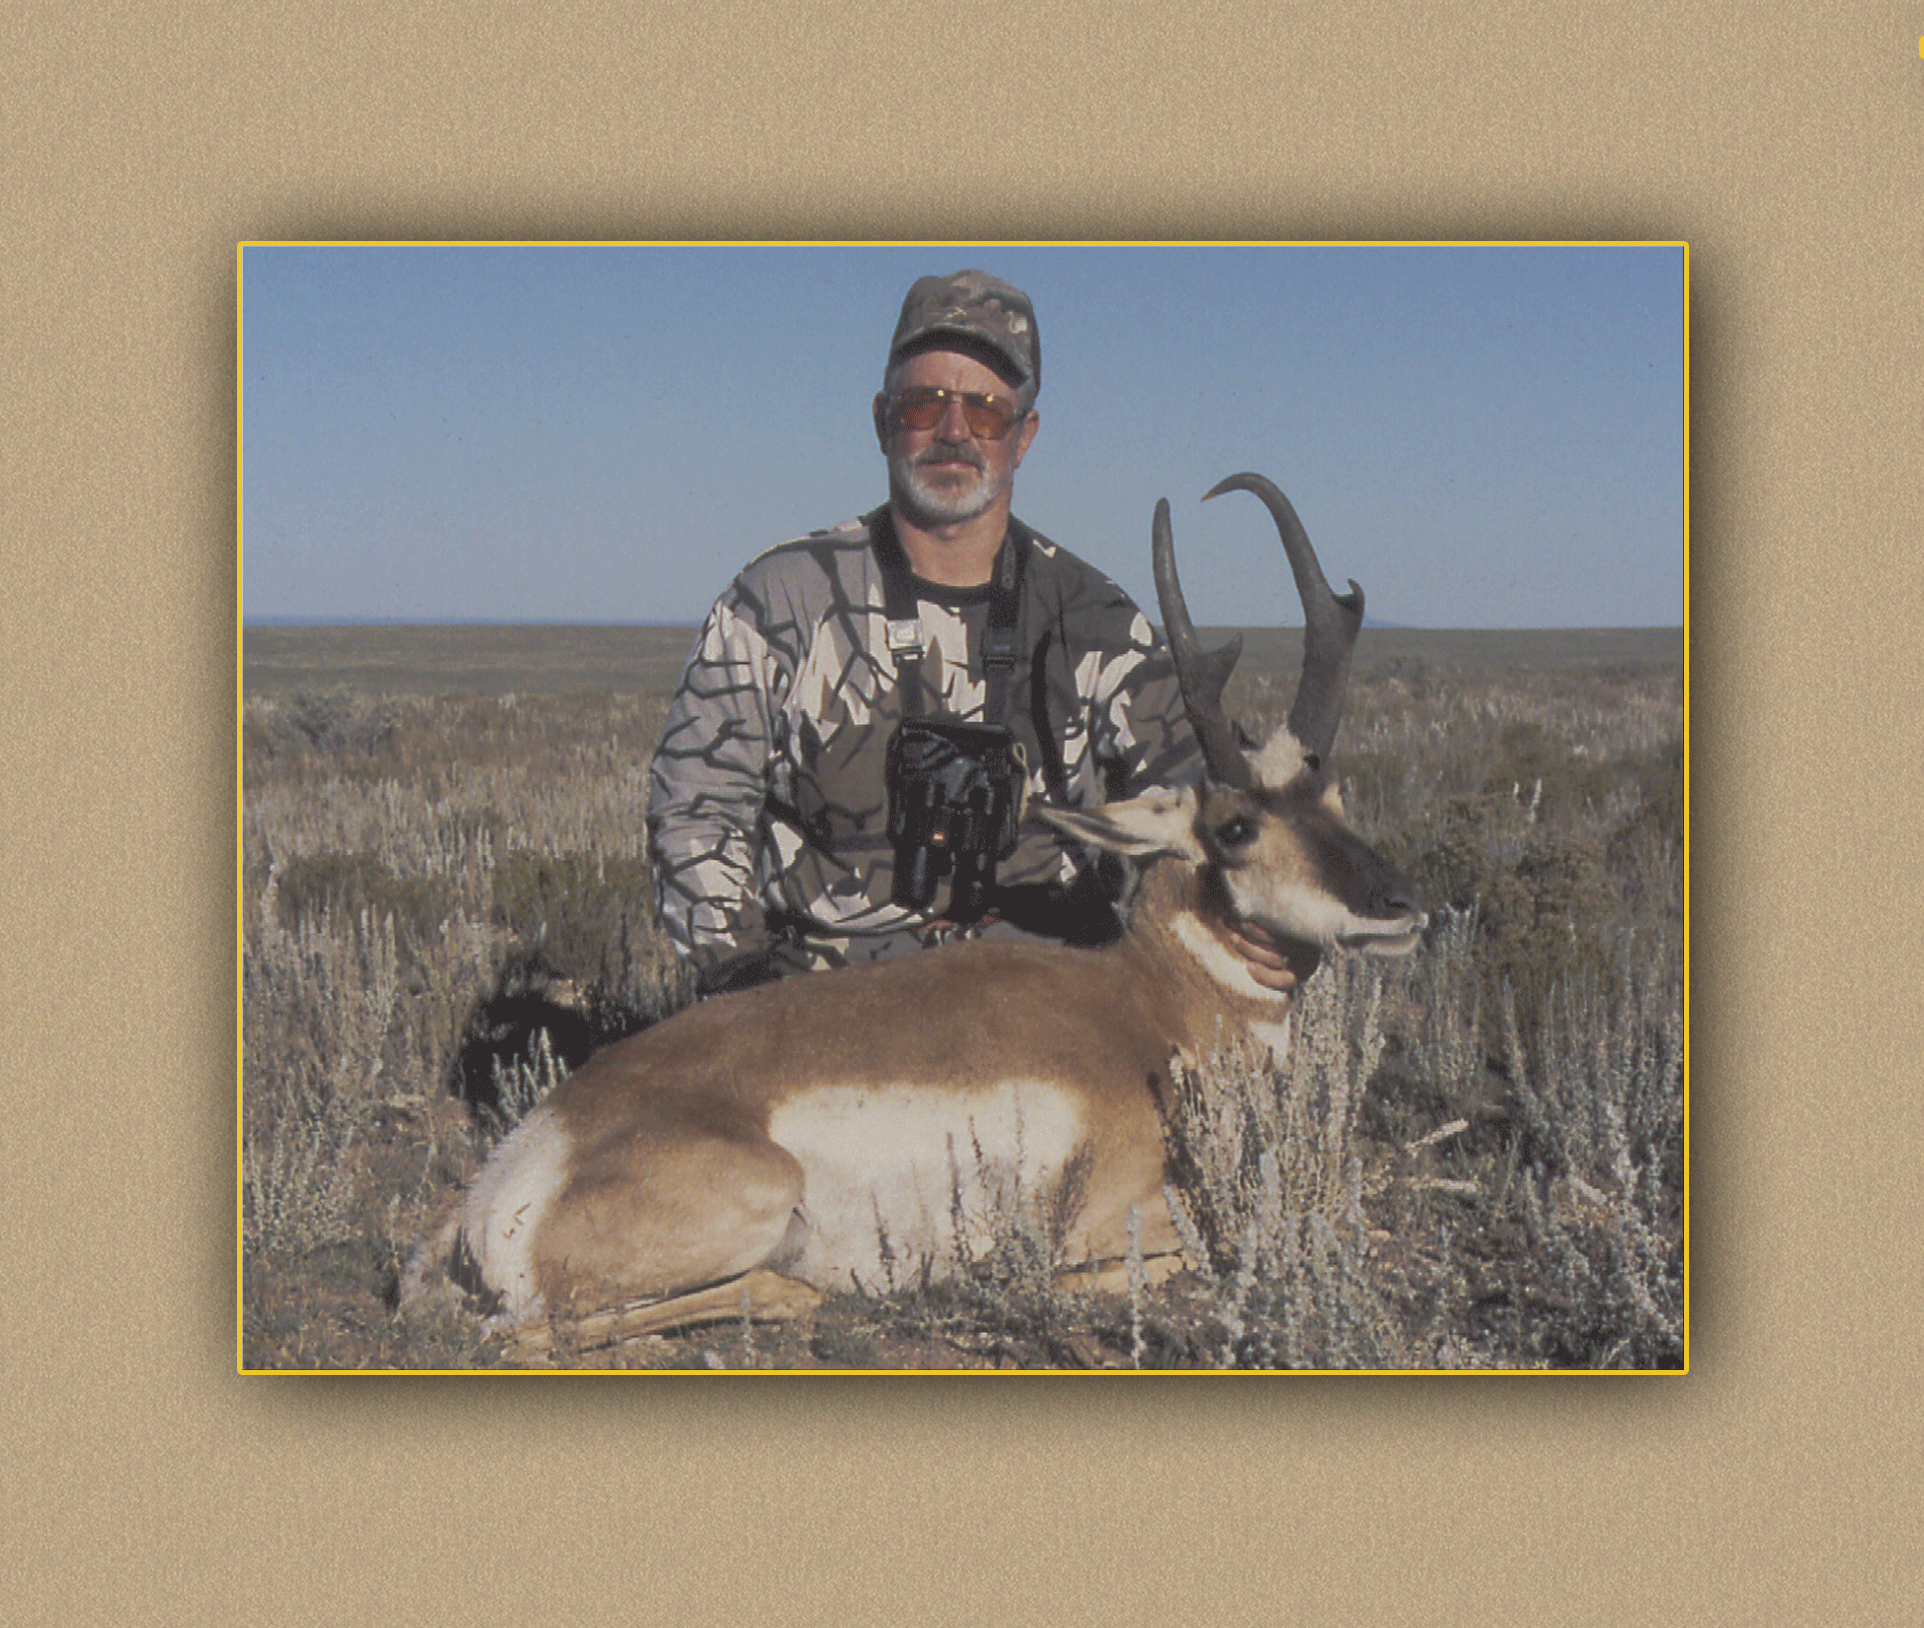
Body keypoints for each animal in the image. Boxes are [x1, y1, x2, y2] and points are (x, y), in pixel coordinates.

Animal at [402, 473, 1426, 1353]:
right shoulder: (1119, 1224)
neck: (1150, 1004)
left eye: (1336, 800)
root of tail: (512, 1176)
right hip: (760, 1196)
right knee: (542, 1329)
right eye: (1237, 827)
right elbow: (1170, 1256)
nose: (1402, 907)